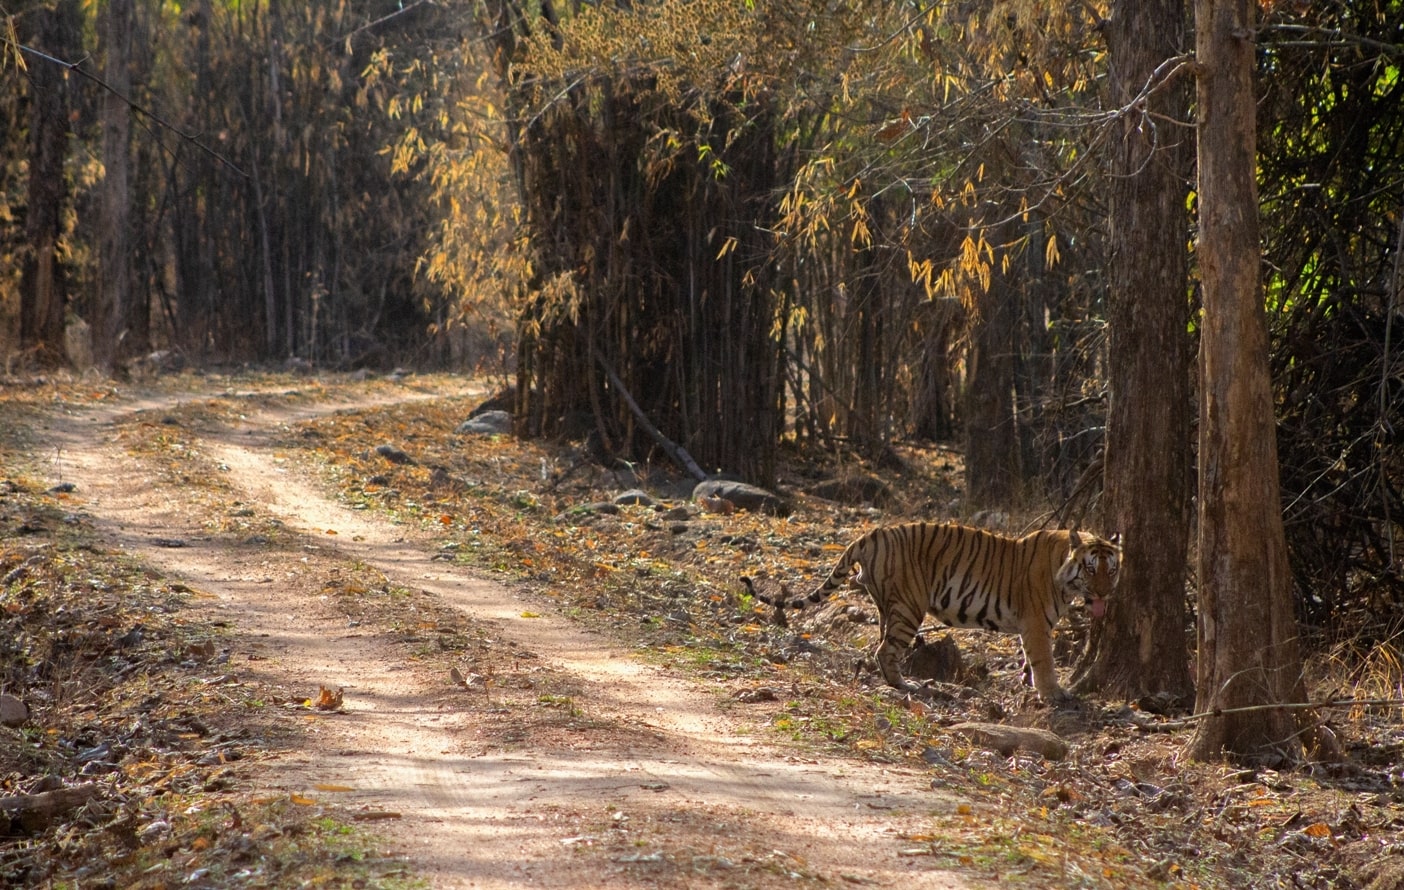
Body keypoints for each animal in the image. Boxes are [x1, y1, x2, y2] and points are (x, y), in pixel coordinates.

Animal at [741, 521, 1121, 701]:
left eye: (1111, 569)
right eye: (1090, 569)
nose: (1105, 593)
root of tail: (870, 535)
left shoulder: (1031, 625)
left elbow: (1028, 658)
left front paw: (1027, 684)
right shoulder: (1036, 623)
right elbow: (1043, 659)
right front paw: (1053, 693)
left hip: (887, 605)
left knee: (880, 644)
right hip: (910, 607)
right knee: (885, 650)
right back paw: (905, 685)